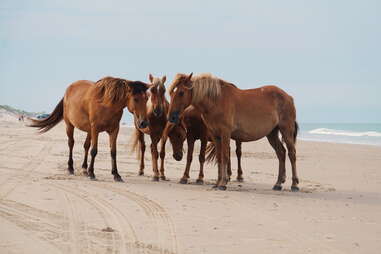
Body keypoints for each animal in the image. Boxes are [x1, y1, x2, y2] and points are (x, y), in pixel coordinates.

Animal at [168, 73, 298, 190]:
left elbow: (225, 156)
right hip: (271, 134)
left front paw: (223, 183)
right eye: (171, 93)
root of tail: (289, 97)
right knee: (281, 153)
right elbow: (220, 157)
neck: (217, 101)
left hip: (286, 130)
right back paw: (278, 184)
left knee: (291, 153)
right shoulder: (216, 136)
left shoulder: (225, 134)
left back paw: (294, 184)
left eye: (181, 92)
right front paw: (218, 183)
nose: (171, 117)